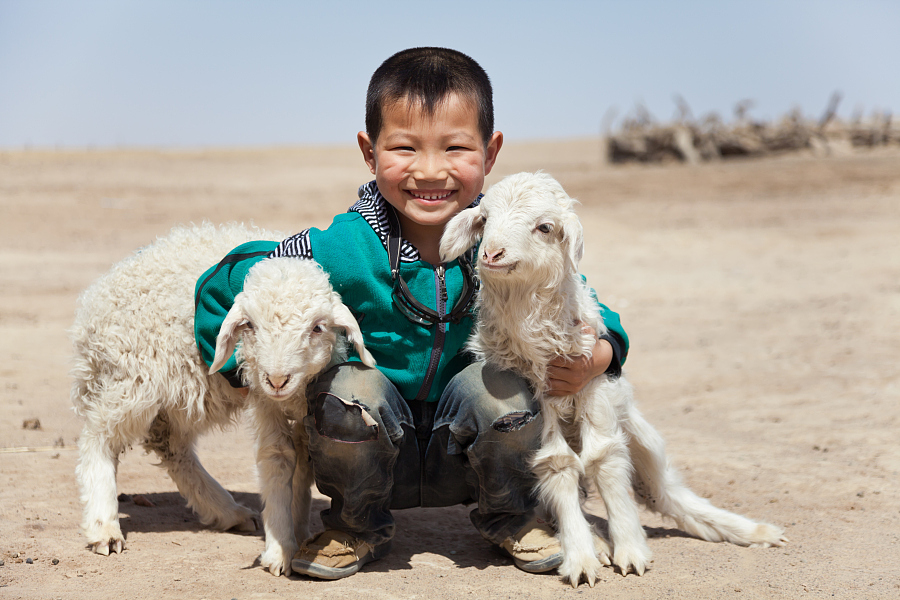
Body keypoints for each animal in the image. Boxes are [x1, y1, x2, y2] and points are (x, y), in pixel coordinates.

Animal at [69, 220, 372, 576]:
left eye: (318, 328)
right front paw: (280, 548)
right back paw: (104, 527)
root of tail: (97, 297)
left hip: (184, 385)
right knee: (99, 437)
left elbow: (302, 466)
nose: (277, 379)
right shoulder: (262, 396)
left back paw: (227, 512)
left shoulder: (302, 405)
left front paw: (298, 533)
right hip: (136, 375)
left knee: (171, 447)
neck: (291, 396)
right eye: (249, 325)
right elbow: (277, 457)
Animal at [442, 172, 788, 584]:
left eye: (545, 227)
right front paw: (581, 558)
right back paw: (595, 542)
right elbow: (557, 464)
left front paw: (630, 551)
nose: (492, 254)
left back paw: (757, 532)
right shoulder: (538, 394)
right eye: (484, 220)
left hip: (642, 436)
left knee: (664, 492)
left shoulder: (590, 382)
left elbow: (604, 459)